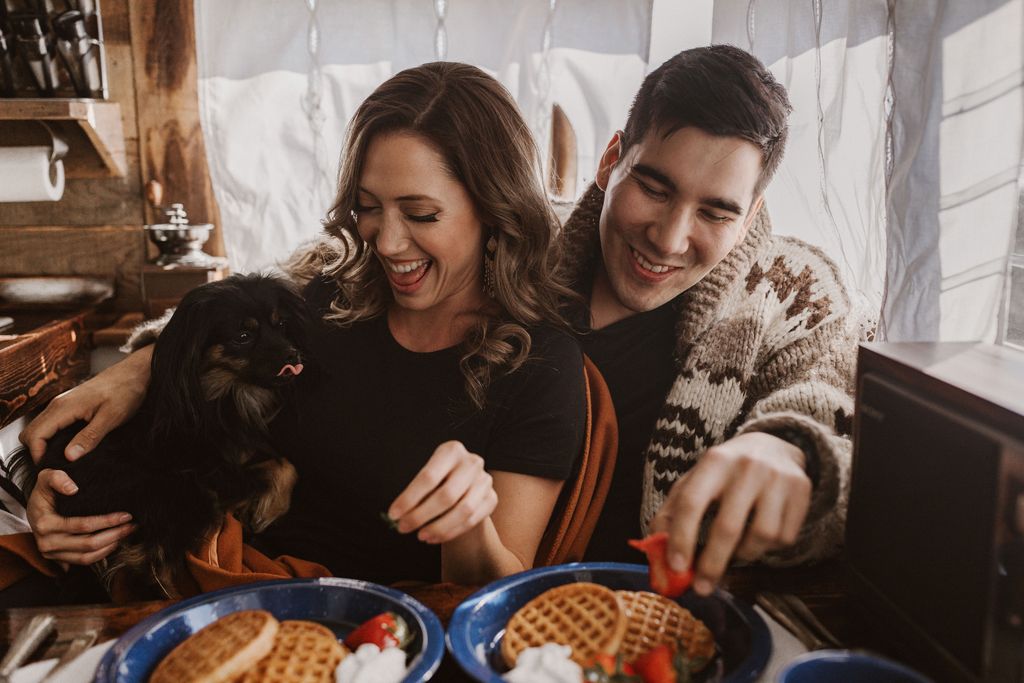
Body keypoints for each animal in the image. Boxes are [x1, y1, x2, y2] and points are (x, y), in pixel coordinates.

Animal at [34, 274, 309, 593]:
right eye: (242, 337)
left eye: (281, 325)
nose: (294, 355)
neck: (220, 392)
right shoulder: (213, 474)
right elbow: (282, 465)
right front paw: (269, 510)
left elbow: (283, 464)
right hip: (183, 493)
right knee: (151, 567)